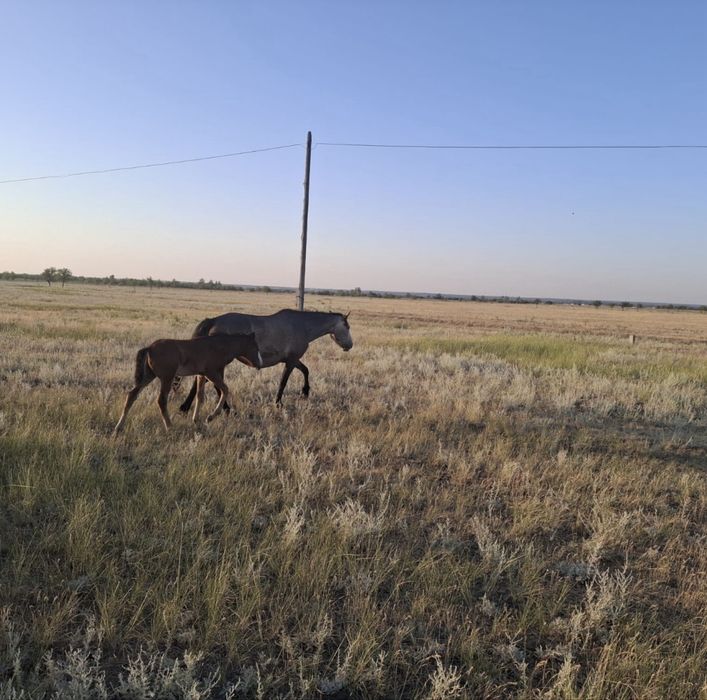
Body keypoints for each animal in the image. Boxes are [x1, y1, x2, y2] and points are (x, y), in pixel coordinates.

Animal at [114, 332, 262, 433]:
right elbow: (225, 389)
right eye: (255, 346)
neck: (219, 346)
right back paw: (169, 426)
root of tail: (149, 348)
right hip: (167, 378)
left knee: (132, 395)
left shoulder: (201, 375)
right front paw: (210, 417)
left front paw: (196, 421)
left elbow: (200, 396)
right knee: (161, 400)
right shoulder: (211, 373)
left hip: (149, 376)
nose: (259, 364)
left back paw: (118, 427)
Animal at [178, 309, 352, 413]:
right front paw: (278, 403)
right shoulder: (291, 360)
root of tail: (213, 320)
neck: (302, 326)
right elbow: (284, 382)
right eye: (347, 327)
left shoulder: (292, 359)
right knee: (214, 383)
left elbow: (305, 370)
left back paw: (186, 407)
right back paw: (226, 409)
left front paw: (305, 392)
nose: (350, 345)